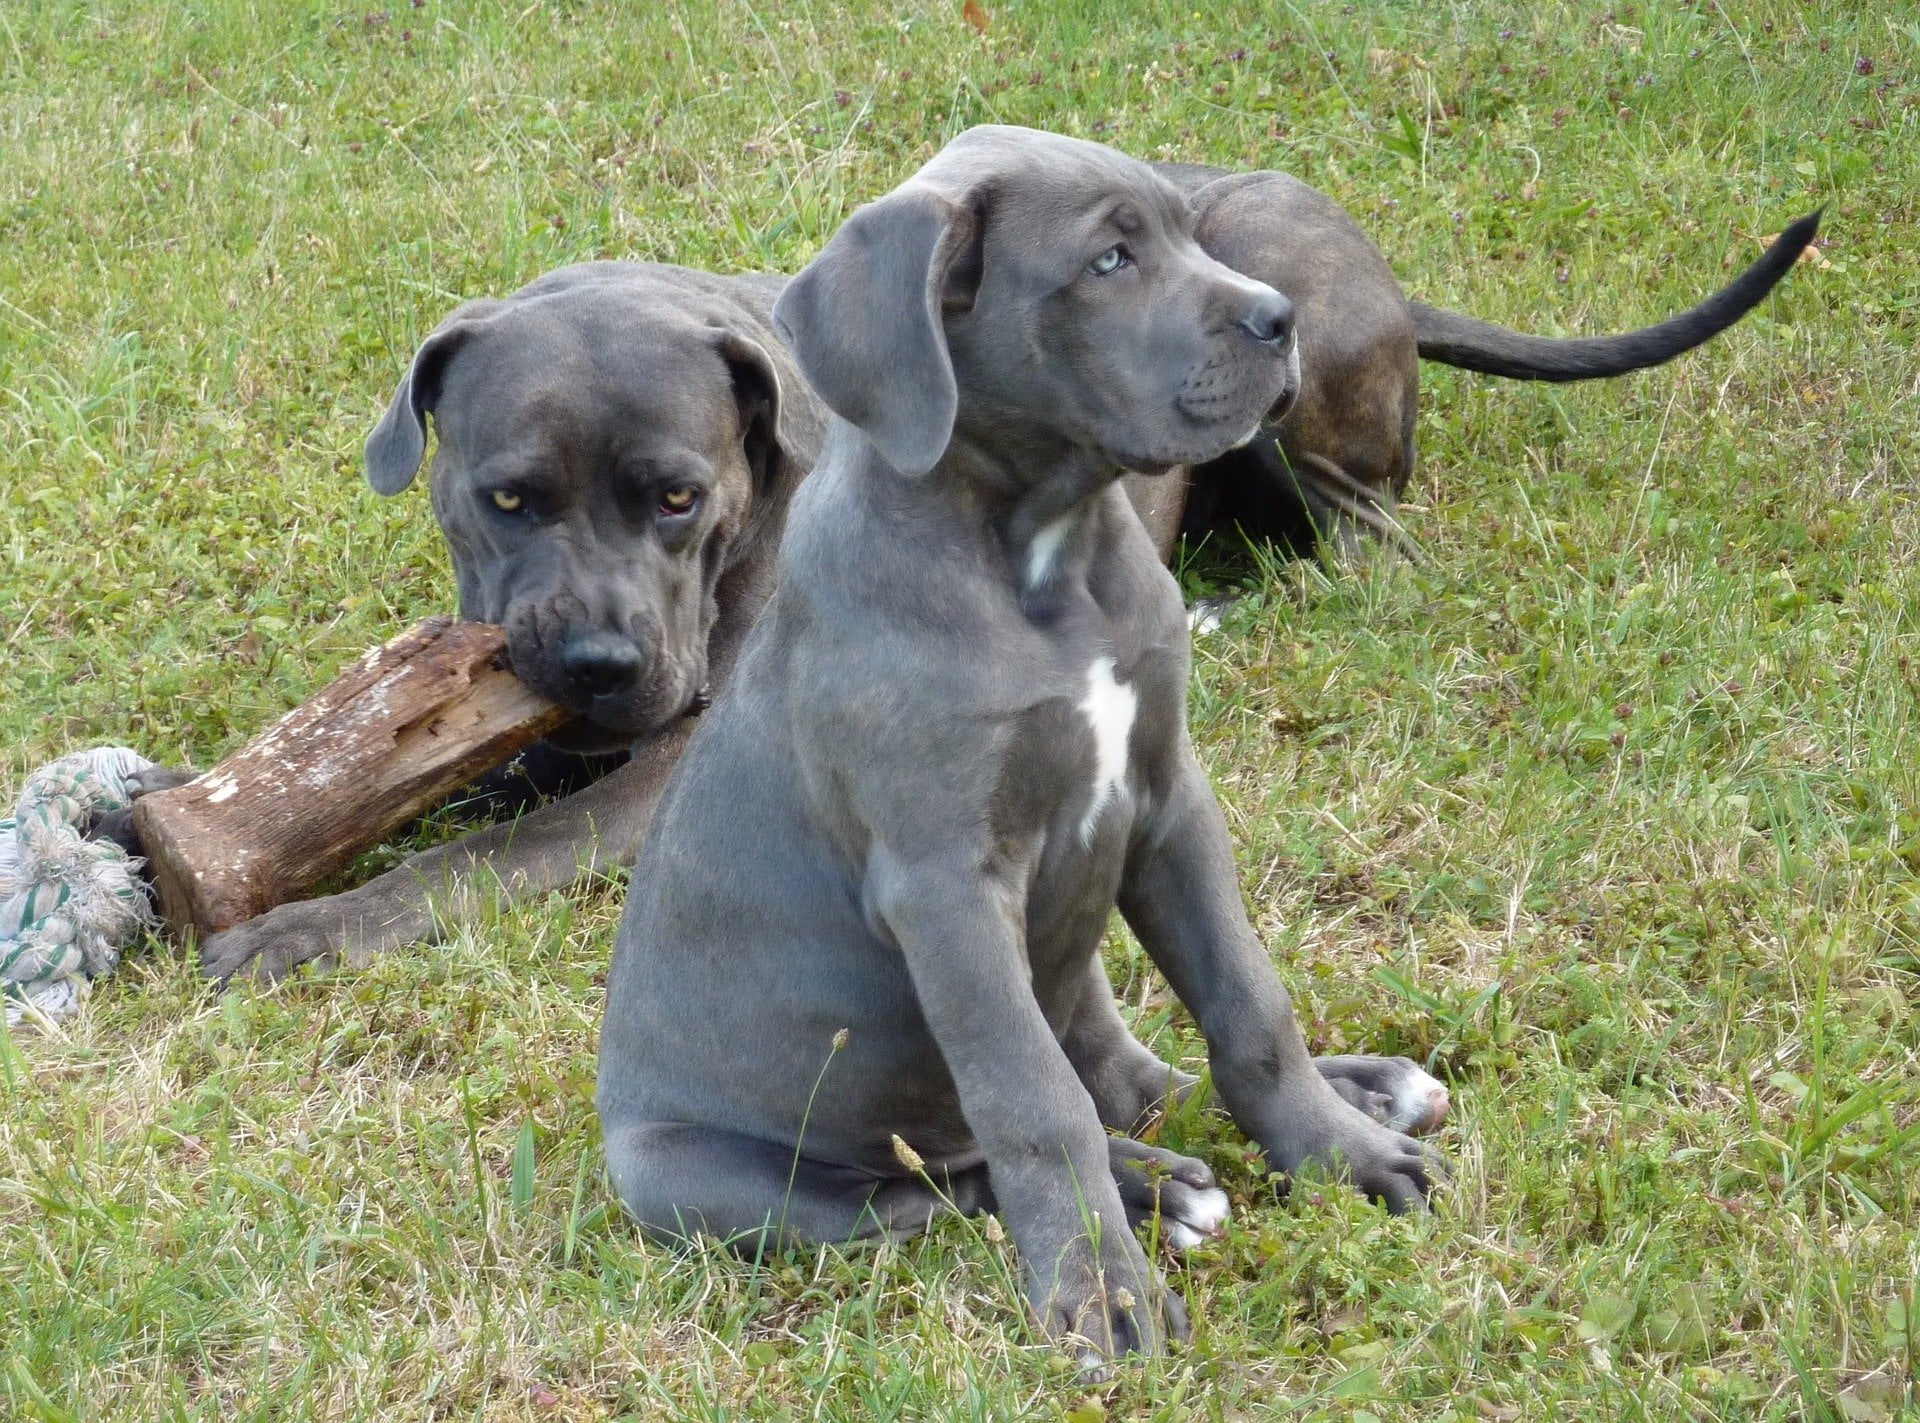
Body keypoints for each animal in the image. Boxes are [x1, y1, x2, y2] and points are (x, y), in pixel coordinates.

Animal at [194, 149, 1812, 990]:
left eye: (679, 497)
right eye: (506, 496)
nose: (596, 665)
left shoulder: (658, 782)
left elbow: (468, 861)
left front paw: (301, 929)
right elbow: (447, 782)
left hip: (1285, 356)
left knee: (1371, 535)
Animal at [591, 127, 1436, 1359]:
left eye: (1185, 229)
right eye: (1108, 261)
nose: (1282, 317)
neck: (1048, 554)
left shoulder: (1167, 801)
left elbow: (1249, 1005)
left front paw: (1340, 1151)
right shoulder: (946, 883)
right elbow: (1034, 1105)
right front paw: (1101, 1290)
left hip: (1074, 954)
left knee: (1124, 1076)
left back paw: (1353, 1094)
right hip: (714, 1181)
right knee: (943, 1181)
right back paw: (1157, 1191)